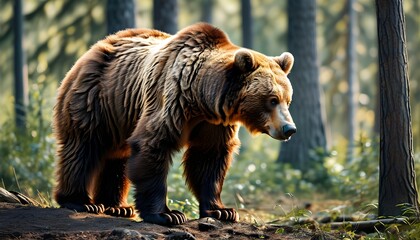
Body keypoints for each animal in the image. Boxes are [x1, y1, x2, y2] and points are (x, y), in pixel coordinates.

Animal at [53, 22, 296, 225]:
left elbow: (208, 159)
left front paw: (222, 210)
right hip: (95, 100)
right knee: (83, 147)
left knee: (116, 157)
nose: (289, 129)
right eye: (272, 99)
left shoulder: (214, 124)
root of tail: (92, 49)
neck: (201, 97)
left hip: (120, 116)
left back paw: (117, 207)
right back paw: (81, 201)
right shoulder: (171, 100)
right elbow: (153, 145)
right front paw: (167, 214)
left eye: (287, 100)